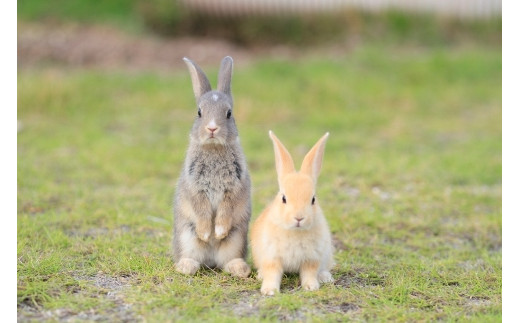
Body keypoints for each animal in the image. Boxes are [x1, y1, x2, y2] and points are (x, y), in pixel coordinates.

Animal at [173, 56, 252, 278]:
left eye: (229, 113)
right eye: (199, 112)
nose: (212, 128)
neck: (214, 148)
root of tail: (210, 260)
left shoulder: (234, 187)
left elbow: (226, 209)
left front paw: (219, 232)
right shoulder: (195, 187)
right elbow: (201, 209)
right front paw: (206, 233)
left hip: (237, 239)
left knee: (227, 261)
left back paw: (240, 269)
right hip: (186, 237)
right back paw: (186, 266)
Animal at [251, 131, 334, 296]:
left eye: (313, 199)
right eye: (284, 198)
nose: (299, 218)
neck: (295, 231)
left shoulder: (311, 258)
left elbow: (309, 273)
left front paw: (311, 287)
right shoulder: (272, 257)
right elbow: (272, 273)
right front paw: (269, 291)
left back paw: (325, 277)